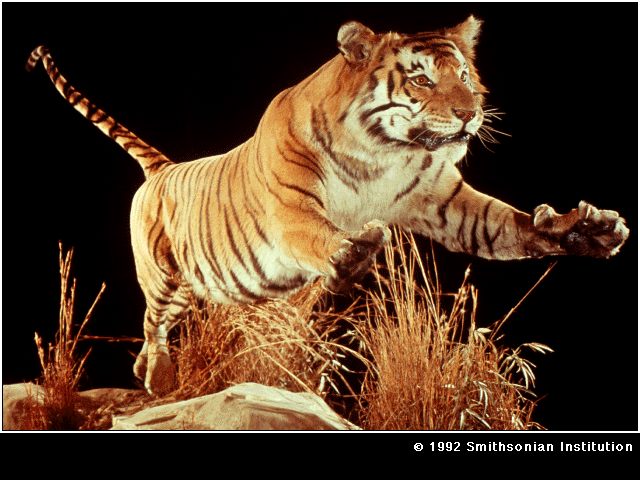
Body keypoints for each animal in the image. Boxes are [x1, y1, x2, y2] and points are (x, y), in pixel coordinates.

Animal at [27, 16, 629, 396]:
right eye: (420, 78)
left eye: (463, 74)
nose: (470, 112)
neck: (383, 155)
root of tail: (163, 169)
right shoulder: (290, 212)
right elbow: (320, 234)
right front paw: (353, 252)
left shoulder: (447, 203)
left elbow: (508, 225)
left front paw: (586, 230)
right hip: (166, 277)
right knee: (153, 325)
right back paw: (156, 377)